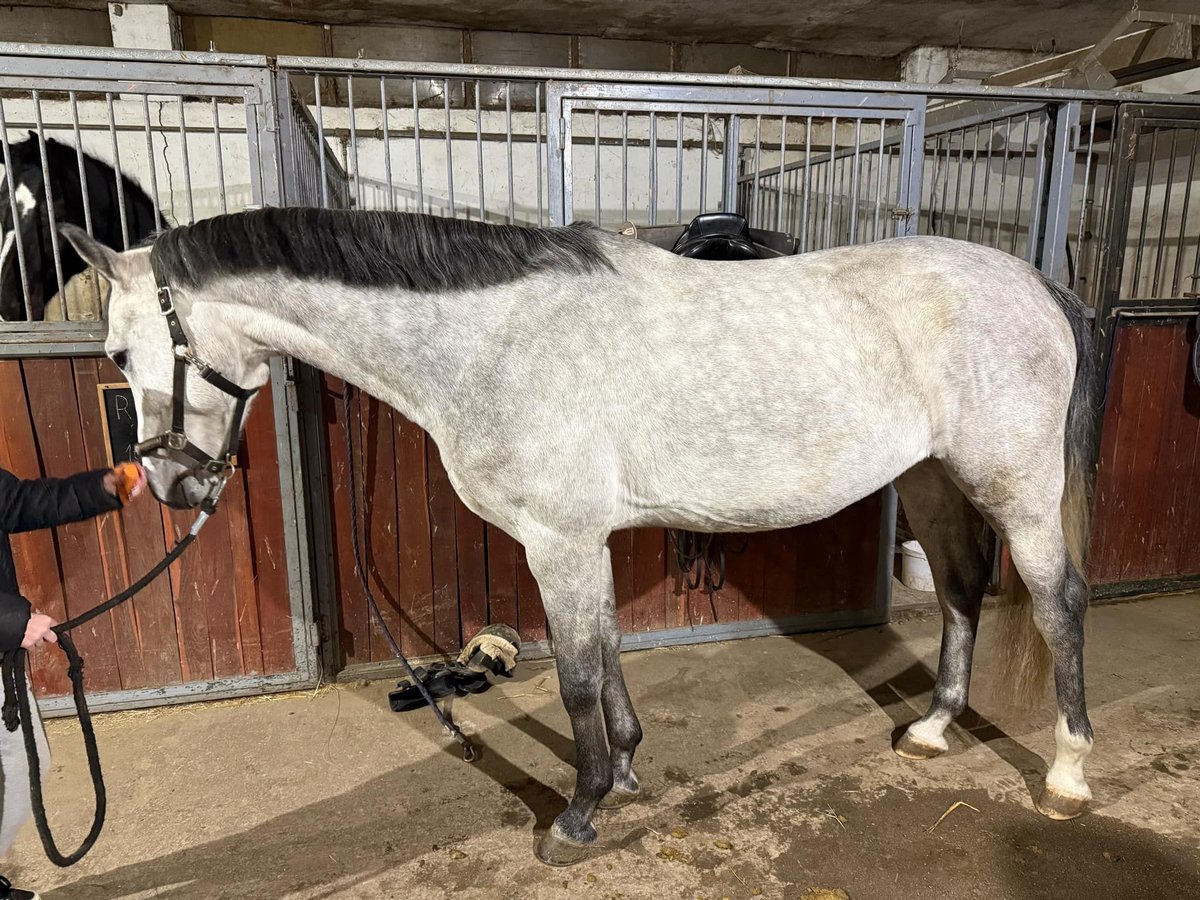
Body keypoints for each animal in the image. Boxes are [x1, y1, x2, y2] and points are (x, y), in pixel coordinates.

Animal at [63, 211, 1099, 868]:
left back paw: (1067, 774)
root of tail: (1038, 284)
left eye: (116, 352)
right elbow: (604, 659)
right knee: (960, 590)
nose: (172, 486)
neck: (497, 341)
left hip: (1017, 488)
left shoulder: (556, 540)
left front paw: (578, 814)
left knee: (1060, 605)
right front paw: (629, 771)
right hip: (932, 479)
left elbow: (572, 679)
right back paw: (932, 729)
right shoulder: (582, 539)